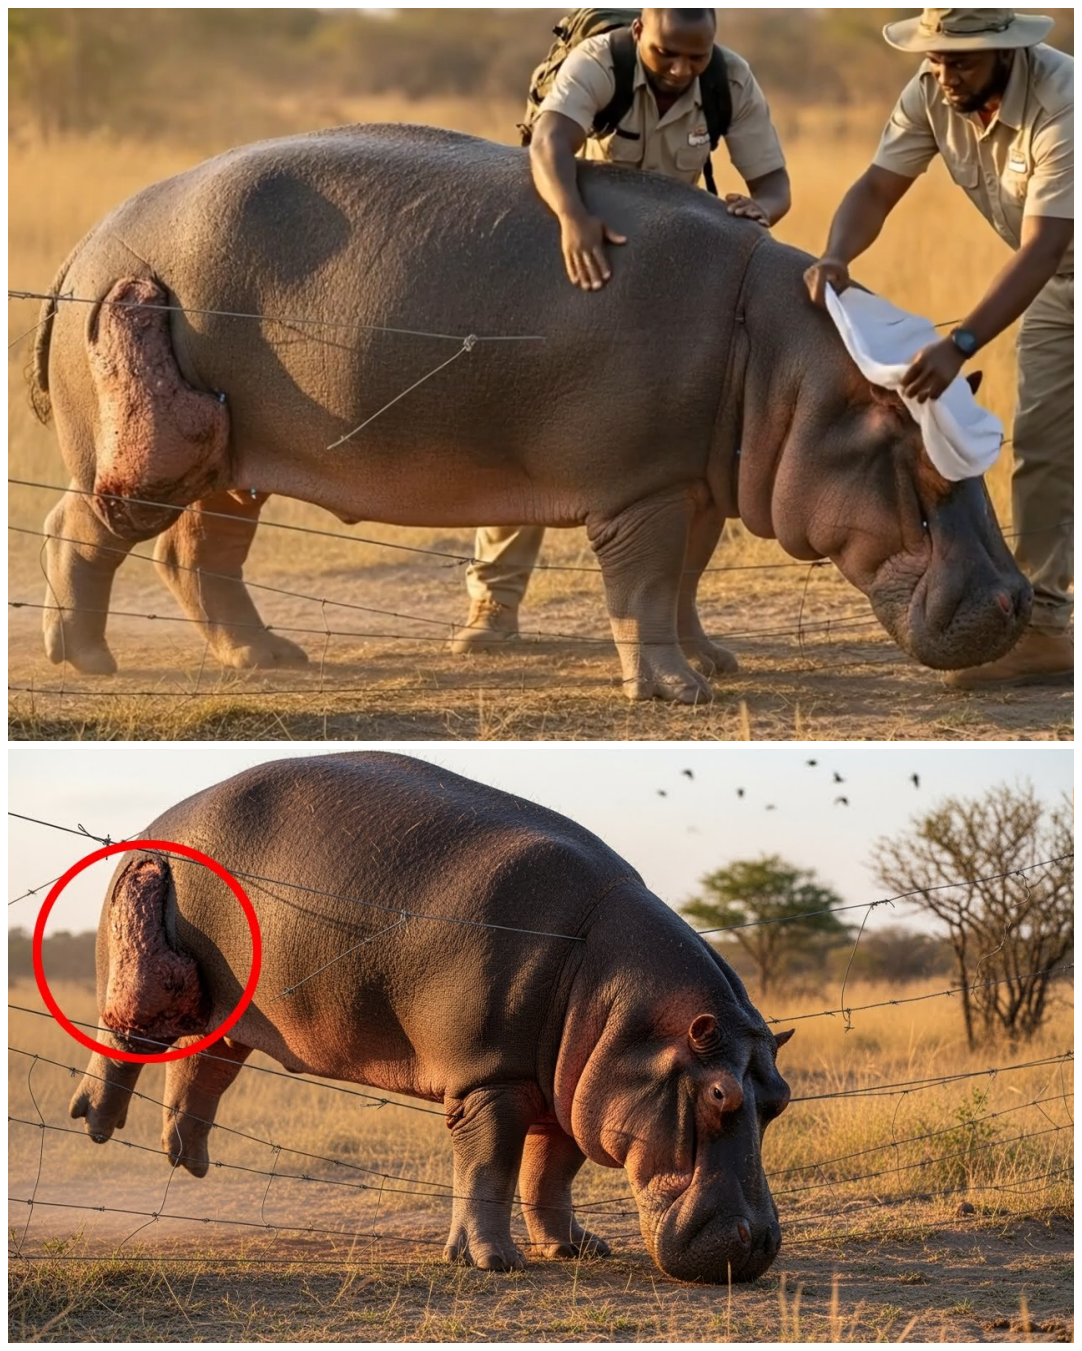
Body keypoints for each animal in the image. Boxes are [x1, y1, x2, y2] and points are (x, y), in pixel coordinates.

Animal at [31, 124, 1030, 701]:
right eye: (924, 467)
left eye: (981, 457)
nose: (1021, 603)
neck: (796, 366)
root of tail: (88, 240)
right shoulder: (642, 490)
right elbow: (644, 585)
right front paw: (676, 693)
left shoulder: (695, 479)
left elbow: (688, 580)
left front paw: (713, 664)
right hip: (154, 448)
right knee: (80, 526)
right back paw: (85, 659)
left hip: (236, 458)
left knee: (199, 553)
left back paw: (268, 658)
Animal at [68, 751, 793, 1283]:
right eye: (720, 1095)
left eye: (780, 1099)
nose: (759, 1244)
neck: (619, 997)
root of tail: (157, 823)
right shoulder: (489, 1078)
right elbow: (489, 1167)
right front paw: (495, 1263)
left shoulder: (572, 1086)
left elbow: (549, 1175)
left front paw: (578, 1247)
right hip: (143, 951)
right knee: (124, 1033)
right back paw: (96, 1123)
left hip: (228, 1005)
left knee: (202, 1062)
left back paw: (185, 1158)